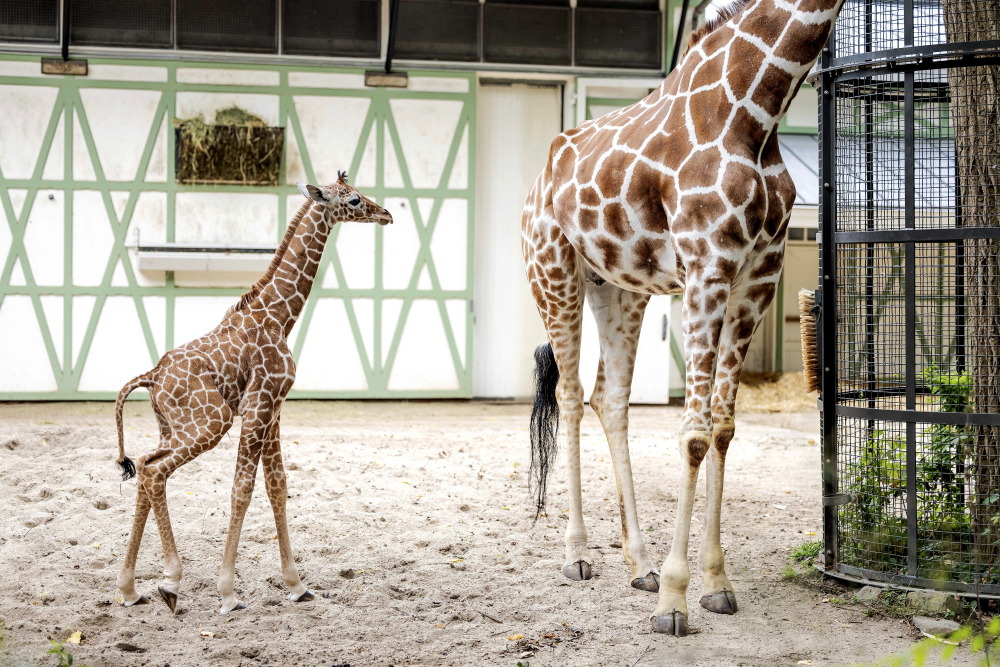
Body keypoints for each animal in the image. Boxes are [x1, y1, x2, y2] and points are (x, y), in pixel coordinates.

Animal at [111, 175, 388, 612]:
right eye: (356, 199)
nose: (386, 214)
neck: (280, 316)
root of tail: (152, 377)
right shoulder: (259, 404)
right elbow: (242, 489)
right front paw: (228, 593)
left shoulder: (275, 409)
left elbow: (278, 487)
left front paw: (297, 585)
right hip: (212, 422)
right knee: (154, 471)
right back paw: (170, 582)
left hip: (174, 428)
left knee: (143, 465)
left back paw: (130, 588)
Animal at [524, 0, 844, 636]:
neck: (759, 109)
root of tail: (536, 183)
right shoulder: (708, 264)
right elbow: (693, 434)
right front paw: (675, 600)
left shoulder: (759, 276)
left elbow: (721, 428)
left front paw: (716, 585)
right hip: (552, 271)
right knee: (570, 395)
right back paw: (578, 554)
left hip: (622, 290)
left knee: (609, 397)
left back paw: (640, 563)